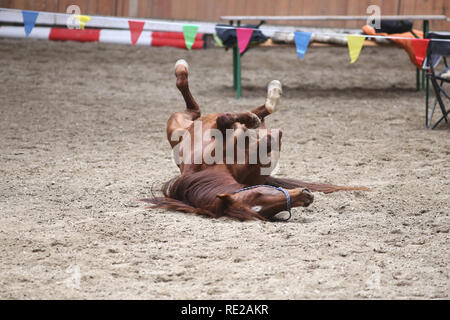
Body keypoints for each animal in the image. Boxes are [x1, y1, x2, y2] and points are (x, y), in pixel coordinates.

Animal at [142, 59, 368, 220]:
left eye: (257, 194)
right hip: (176, 124)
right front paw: (267, 133)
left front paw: (253, 121)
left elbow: (227, 120)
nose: (306, 196)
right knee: (195, 105)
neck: (208, 169)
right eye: (258, 201)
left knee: (197, 104)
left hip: (178, 121)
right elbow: (265, 140)